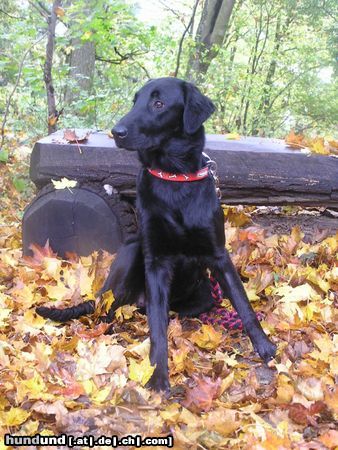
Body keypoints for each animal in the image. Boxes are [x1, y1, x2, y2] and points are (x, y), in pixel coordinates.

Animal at [37, 78, 276, 394]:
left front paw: (264, 346)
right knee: (108, 310)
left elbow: (243, 304)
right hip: (130, 255)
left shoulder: (218, 255)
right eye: (135, 101)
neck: (175, 179)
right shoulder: (157, 261)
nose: (116, 132)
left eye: (158, 103)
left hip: (202, 297)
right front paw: (158, 375)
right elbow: (158, 328)